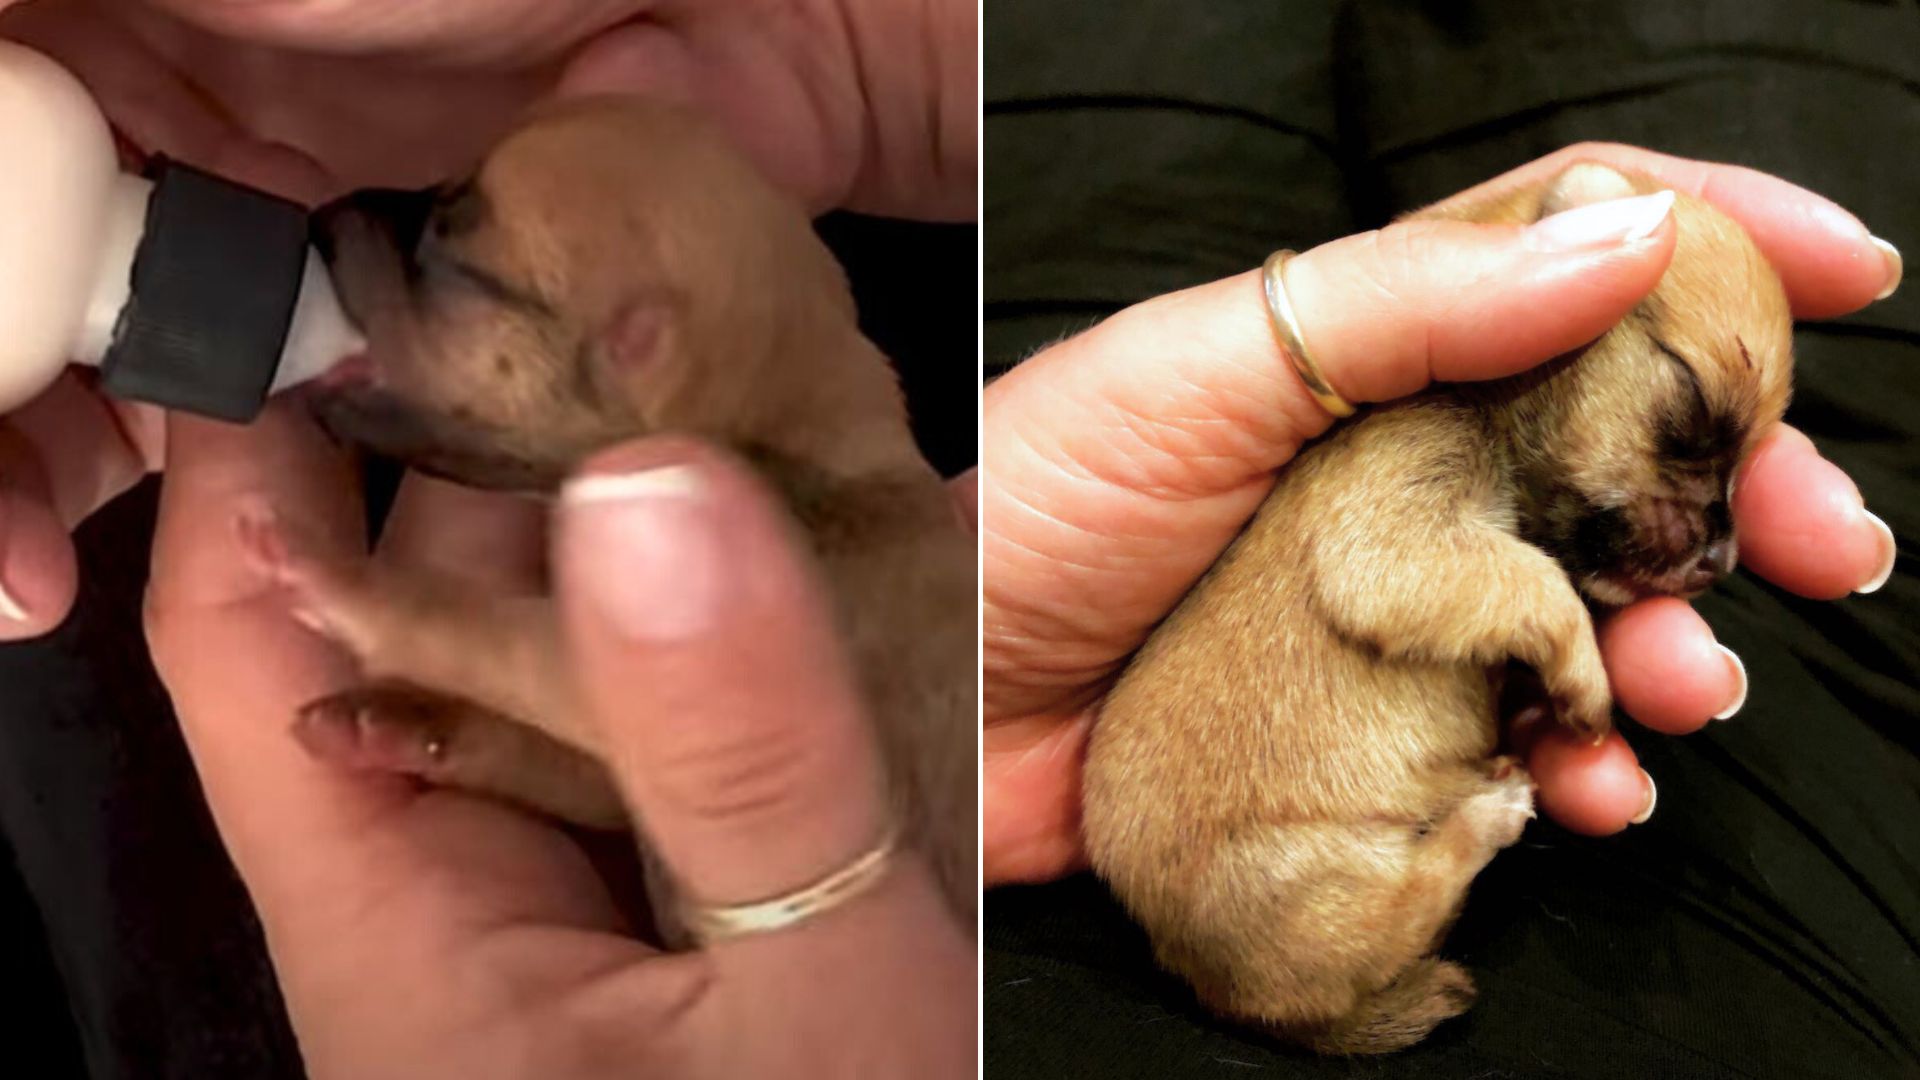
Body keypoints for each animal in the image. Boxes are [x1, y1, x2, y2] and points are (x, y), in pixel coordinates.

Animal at [241, 98, 983, 926]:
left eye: (449, 235)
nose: (325, 212)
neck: (785, 450)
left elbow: (489, 630)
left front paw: (341, 582)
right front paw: (397, 724)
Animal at [1090, 164, 1789, 1045]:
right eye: (1693, 404)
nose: (1721, 561)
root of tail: (1219, 992)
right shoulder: (1394, 541)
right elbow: (1535, 580)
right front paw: (1586, 677)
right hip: (1318, 888)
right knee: (1415, 899)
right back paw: (1488, 813)